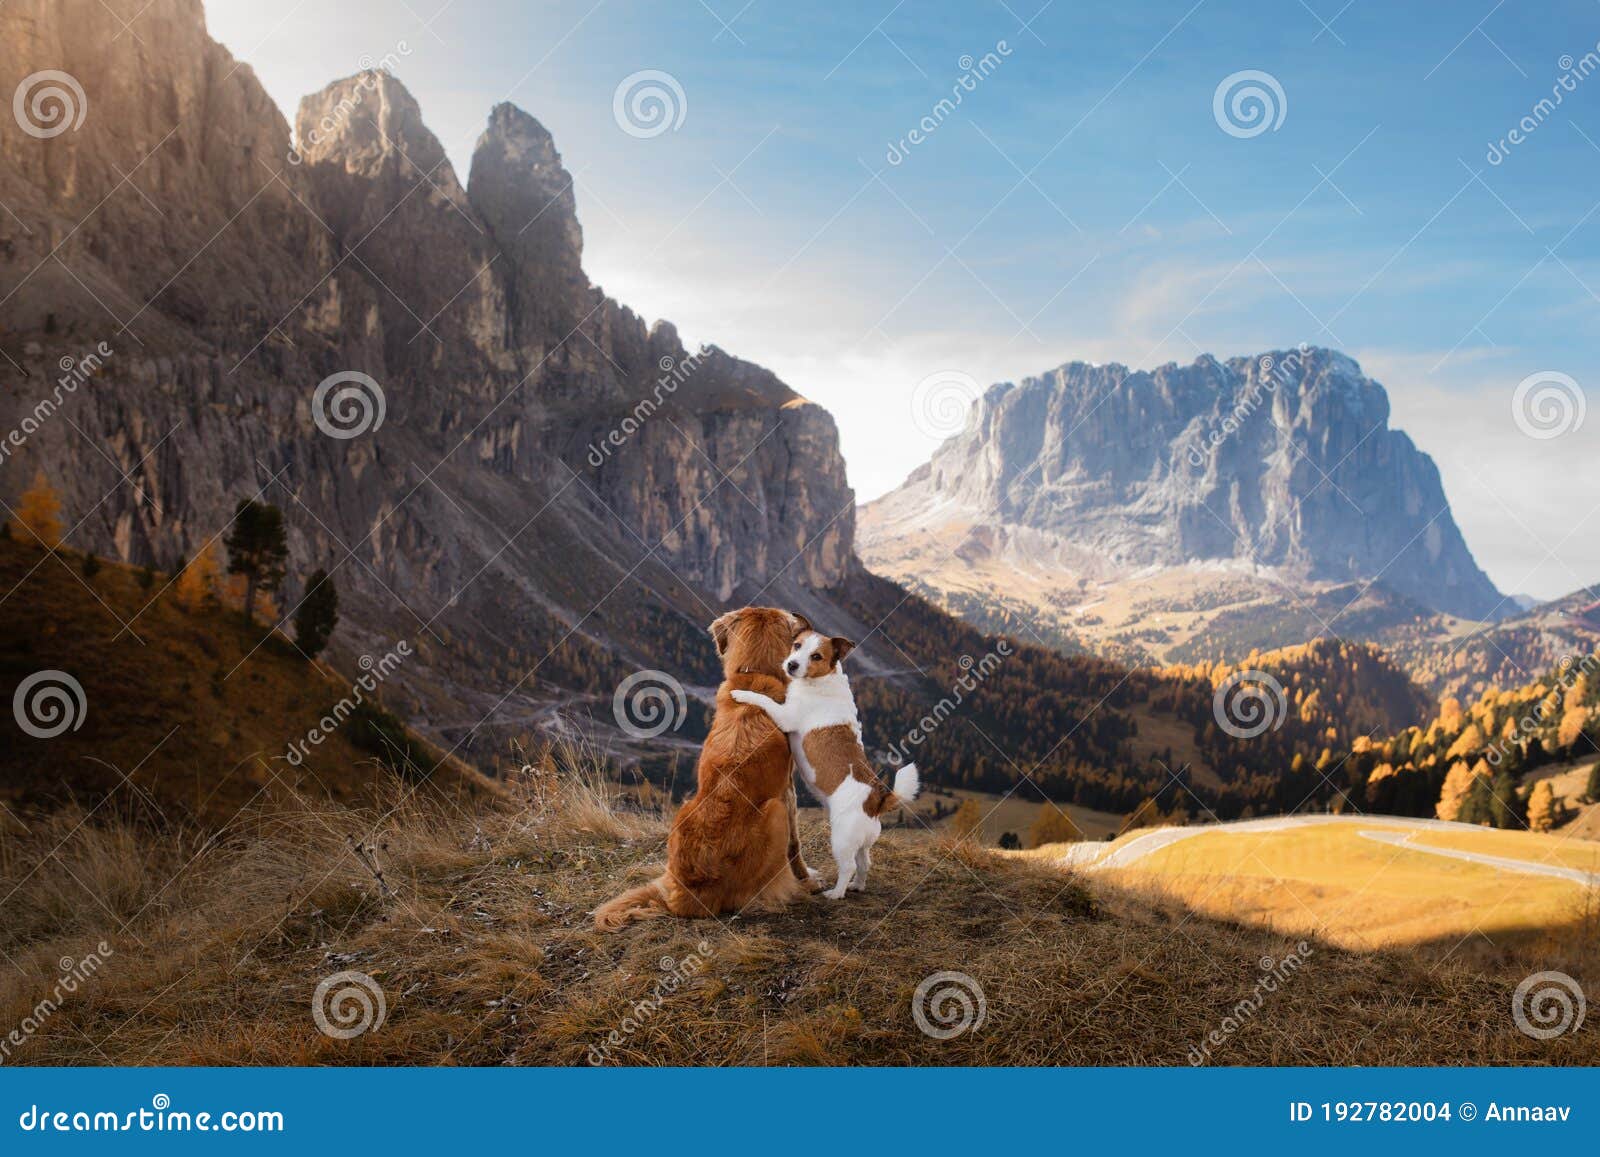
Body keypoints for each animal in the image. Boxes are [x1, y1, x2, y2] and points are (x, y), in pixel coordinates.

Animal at [601, 604, 825, 934]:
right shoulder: (788, 788)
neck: (754, 675)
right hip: (774, 810)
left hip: (684, 808)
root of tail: (684, 894)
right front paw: (808, 878)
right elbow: (795, 847)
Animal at [732, 633, 921, 896]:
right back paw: (857, 886)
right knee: (864, 863)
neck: (821, 680)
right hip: (861, 843)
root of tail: (875, 801)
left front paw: (742, 693)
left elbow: (764, 699)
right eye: (797, 645)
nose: (791, 665)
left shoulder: (785, 717)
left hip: (841, 840)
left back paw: (836, 893)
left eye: (816, 656)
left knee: (849, 866)